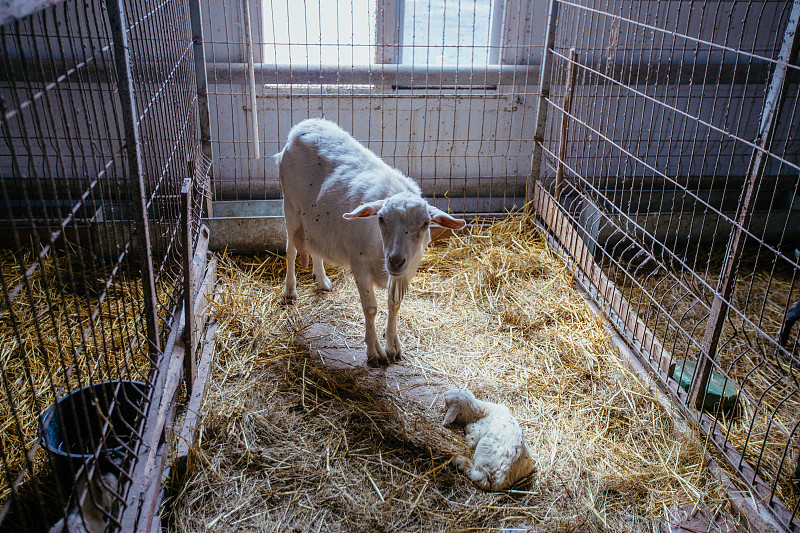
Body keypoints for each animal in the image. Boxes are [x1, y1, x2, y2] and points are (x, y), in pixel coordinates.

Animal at [276, 118, 466, 364]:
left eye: (425, 223)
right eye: (381, 218)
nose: (396, 260)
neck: (381, 249)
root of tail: (302, 126)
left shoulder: (404, 272)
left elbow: (394, 304)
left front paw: (393, 346)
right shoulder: (360, 265)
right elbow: (371, 308)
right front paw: (374, 351)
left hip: (313, 219)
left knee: (314, 245)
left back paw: (323, 281)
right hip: (290, 207)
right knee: (291, 250)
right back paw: (290, 290)